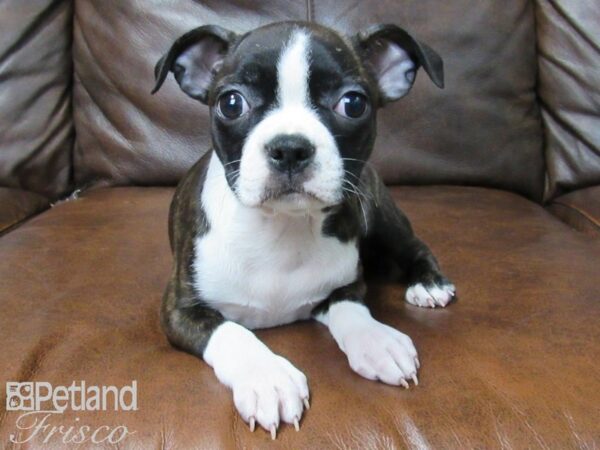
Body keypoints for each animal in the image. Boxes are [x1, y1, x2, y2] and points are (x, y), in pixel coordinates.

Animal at [154, 21, 454, 440]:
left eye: (353, 104)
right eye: (231, 103)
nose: (290, 147)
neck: (283, 226)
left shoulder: (347, 286)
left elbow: (352, 310)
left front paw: (377, 340)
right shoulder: (180, 309)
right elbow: (231, 332)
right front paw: (267, 378)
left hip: (380, 215)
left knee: (415, 246)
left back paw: (428, 284)